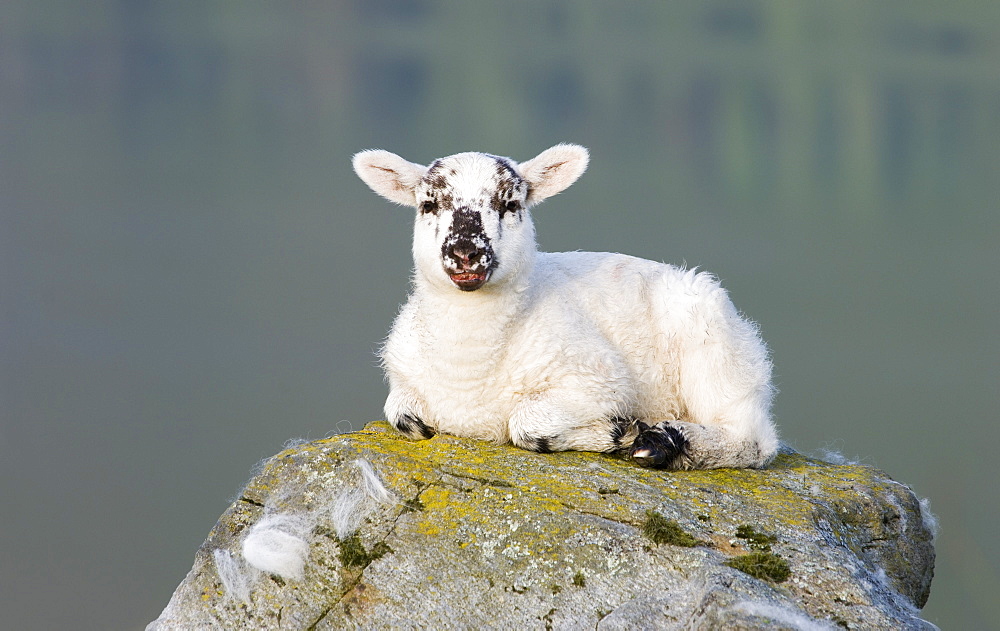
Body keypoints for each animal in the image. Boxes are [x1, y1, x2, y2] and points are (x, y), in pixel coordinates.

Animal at [354, 144, 780, 470]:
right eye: (428, 205)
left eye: (510, 203)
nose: (465, 253)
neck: (468, 372)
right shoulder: (403, 381)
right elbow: (401, 416)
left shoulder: (598, 379)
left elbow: (526, 423)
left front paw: (618, 431)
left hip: (714, 350)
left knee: (752, 438)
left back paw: (662, 443)